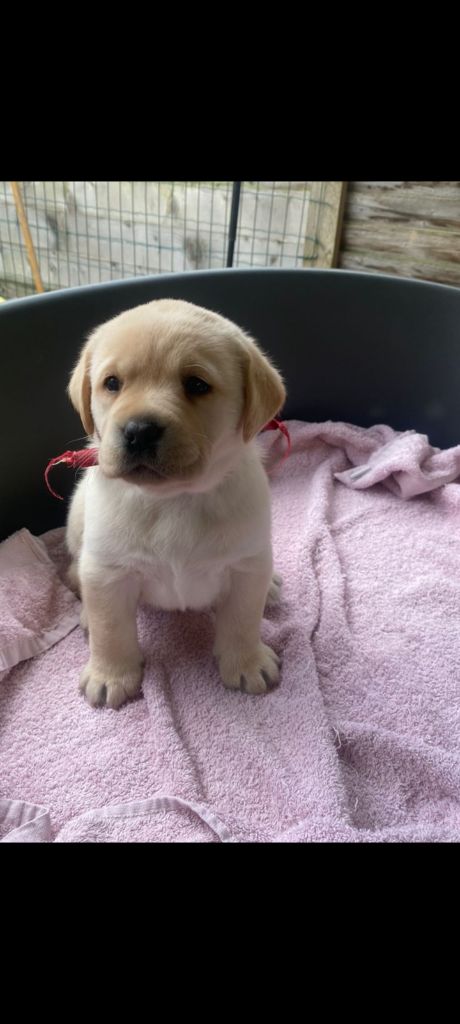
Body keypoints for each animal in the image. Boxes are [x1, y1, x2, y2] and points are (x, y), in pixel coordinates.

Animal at [65, 298, 286, 708]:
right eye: (112, 383)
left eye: (197, 385)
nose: (139, 431)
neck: (174, 499)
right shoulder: (107, 570)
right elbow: (110, 628)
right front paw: (110, 675)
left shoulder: (246, 566)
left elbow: (243, 620)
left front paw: (247, 663)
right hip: (77, 518)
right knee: (76, 571)